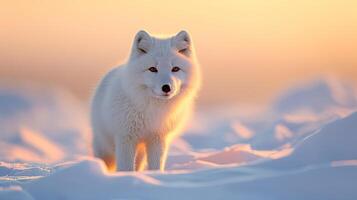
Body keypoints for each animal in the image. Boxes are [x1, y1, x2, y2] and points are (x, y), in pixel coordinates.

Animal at [89, 30, 200, 171]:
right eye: (152, 69)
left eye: (175, 69)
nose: (166, 87)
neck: (152, 111)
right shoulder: (125, 138)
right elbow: (126, 167)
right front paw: (127, 176)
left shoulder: (158, 138)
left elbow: (156, 166)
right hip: (105, 147)